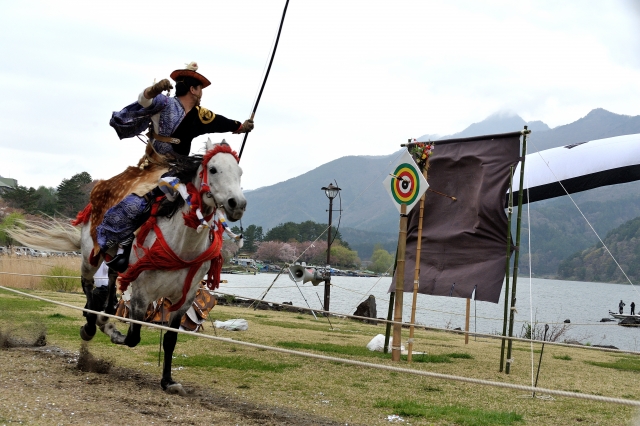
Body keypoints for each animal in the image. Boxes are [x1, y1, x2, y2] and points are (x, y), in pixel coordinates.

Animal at [10, 141, 245, 396]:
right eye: (213, 169)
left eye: (239, 172)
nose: (238, 204)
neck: (182, 245)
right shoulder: (142, 293)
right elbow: (133, 337)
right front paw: (112, 331)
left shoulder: (184, 299)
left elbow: (170, 341)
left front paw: (168, 381)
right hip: (91, 254)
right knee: (88, 283)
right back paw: (91, 323)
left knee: (112, 276)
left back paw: (106, 309)